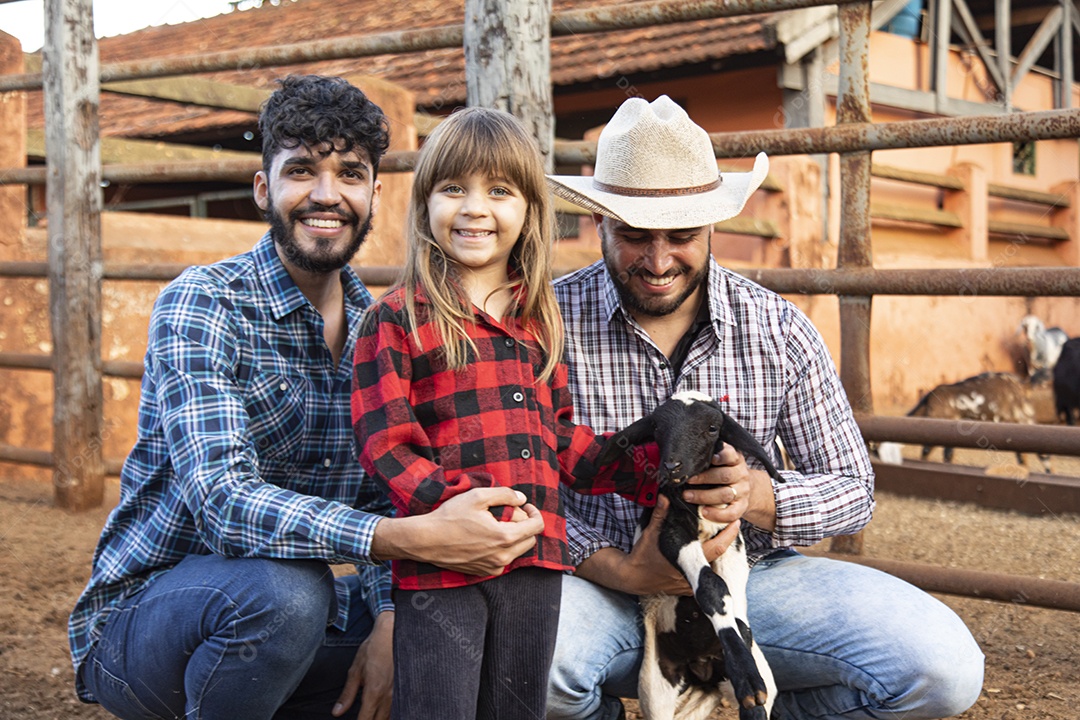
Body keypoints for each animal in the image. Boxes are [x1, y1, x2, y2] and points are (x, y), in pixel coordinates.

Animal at [600, 395, 786, 720]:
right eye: (657, 427)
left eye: (713, 428)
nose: (672, 466)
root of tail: (704, 672)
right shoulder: (670, 532)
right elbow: (711, 587)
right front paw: (745, 675)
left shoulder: (727, 537)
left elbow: (722, 594)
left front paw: (746, 677)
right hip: (655, 686)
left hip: (764, 680)